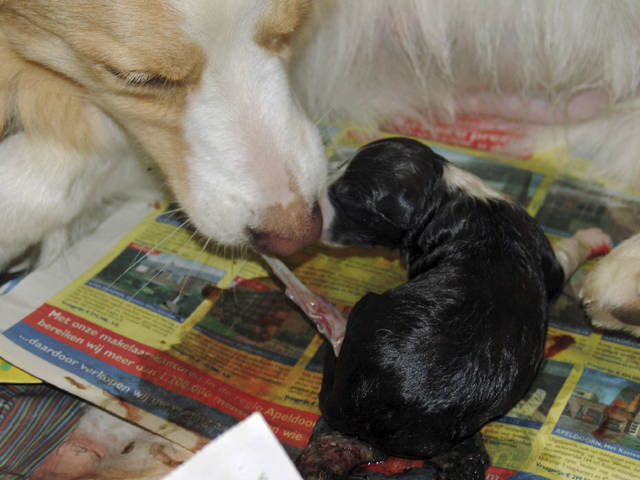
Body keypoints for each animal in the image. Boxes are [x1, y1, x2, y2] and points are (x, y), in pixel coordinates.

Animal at [295, 138, 611, 479]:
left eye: (350, 198)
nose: (310, 214)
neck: (444, 195)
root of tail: (359, 404)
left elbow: (568, 251)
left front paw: (592, 237)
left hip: (365, 306)